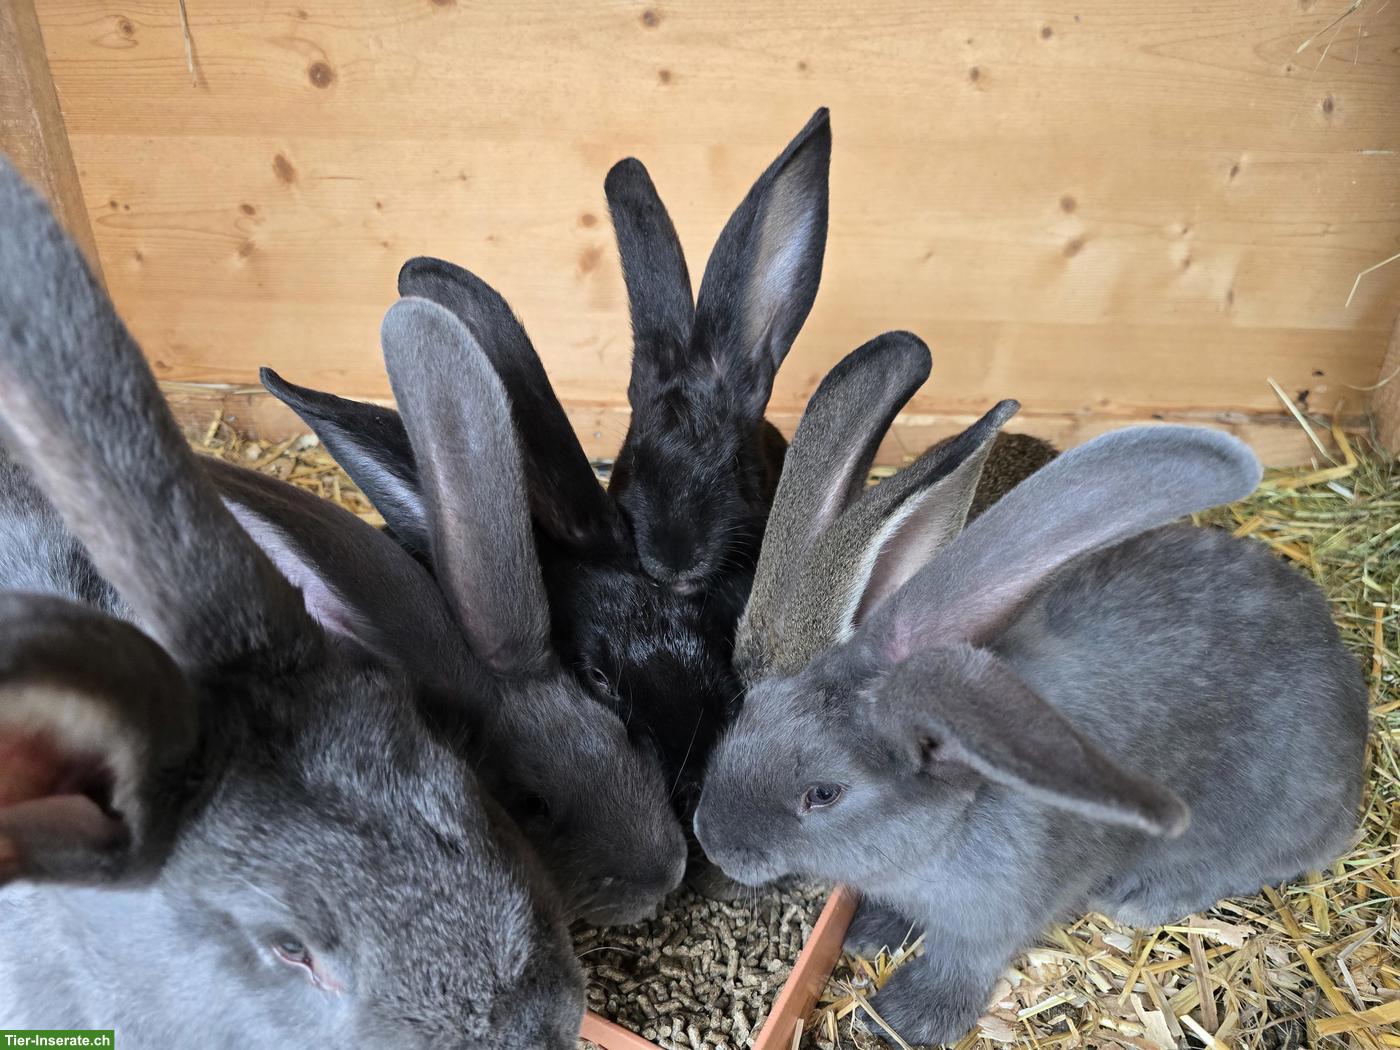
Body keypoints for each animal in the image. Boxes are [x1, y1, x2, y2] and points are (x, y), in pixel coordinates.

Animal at [693, 332, 1367, 1046]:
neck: (944, 831)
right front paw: (871, 934)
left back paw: (1141, 896)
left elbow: (963, 961)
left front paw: (904, 1018)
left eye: (823, 794)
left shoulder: (993, 918)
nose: (712, 840)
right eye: (736, 726)